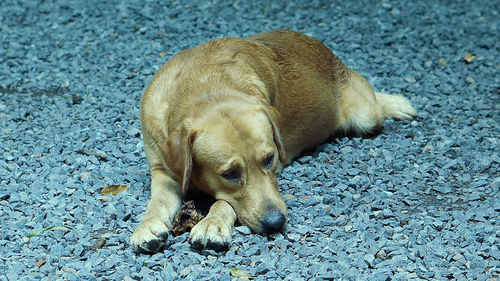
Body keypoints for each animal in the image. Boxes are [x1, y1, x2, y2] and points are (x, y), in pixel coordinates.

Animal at [130, 29, 418, 253]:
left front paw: (213, 222)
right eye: (230, 174)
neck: (204, 89)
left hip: (366, 115)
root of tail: (321, 46)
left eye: (269, 159)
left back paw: (396, 103)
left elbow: (224, 201)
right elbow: (156, 203)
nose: (276, 223)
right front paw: (147, 225)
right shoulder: (163, 171)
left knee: (375, 101)